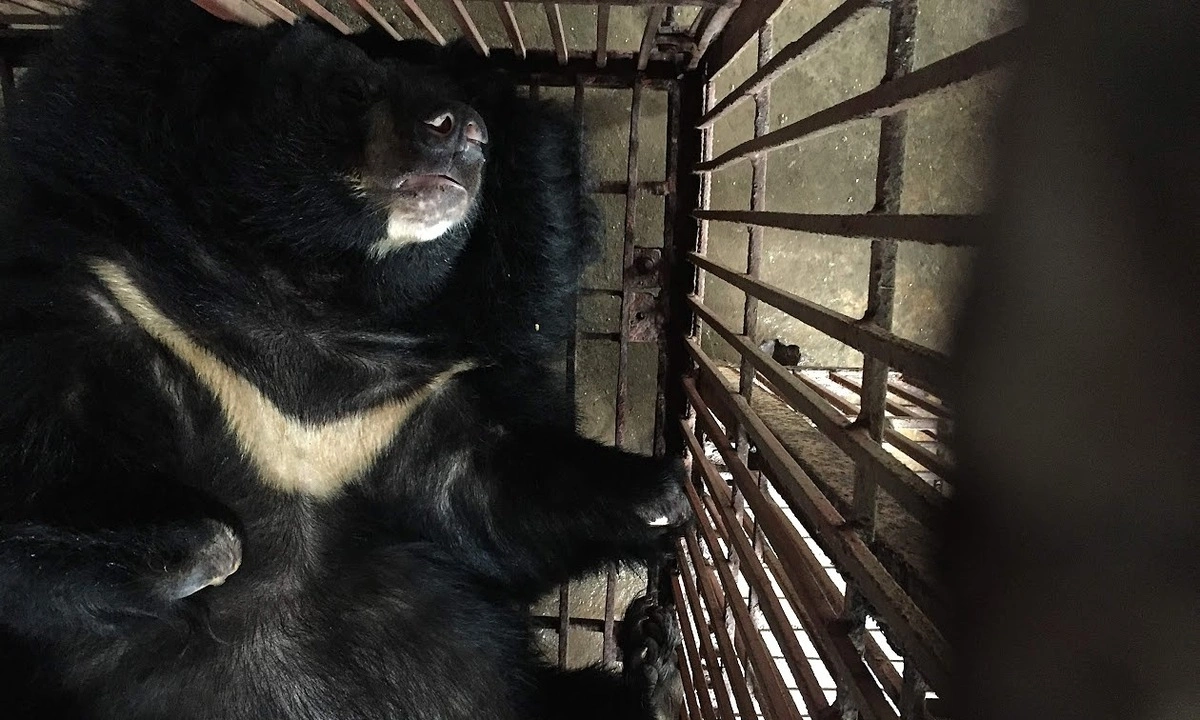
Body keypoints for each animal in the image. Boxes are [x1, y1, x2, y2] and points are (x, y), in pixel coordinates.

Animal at [0, 1, 688, 718]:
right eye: (353, 90)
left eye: (489, 140)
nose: (466, 132)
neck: (315, 299)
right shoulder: (112, 300)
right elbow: (31, 491)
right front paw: (203, 552)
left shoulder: (400, 410)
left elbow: (489, 493)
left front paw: (665, 496)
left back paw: (654, 669)